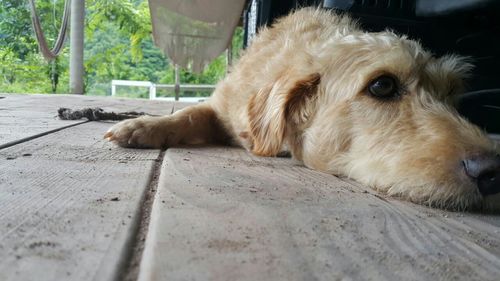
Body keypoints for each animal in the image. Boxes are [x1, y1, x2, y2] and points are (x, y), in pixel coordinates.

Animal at [103, 7, 498, 209]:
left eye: (452, 93)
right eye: (382, 85)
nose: (493, 173)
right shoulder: (221, 105)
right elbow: (189, 113)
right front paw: (143, 125)